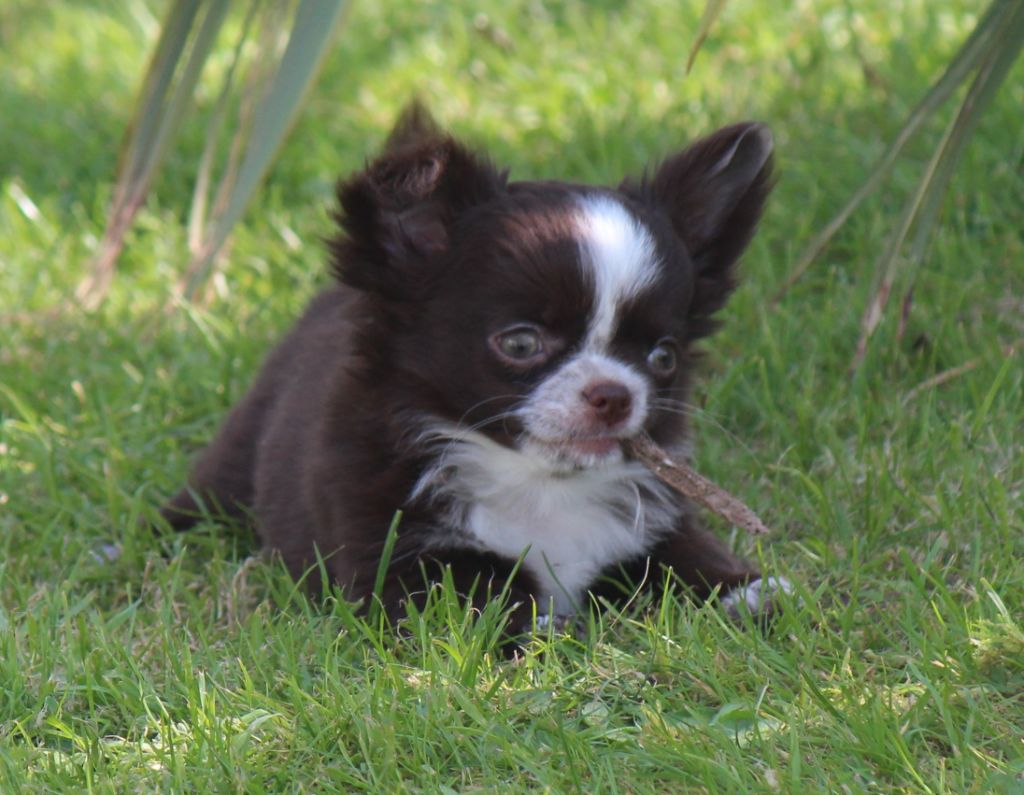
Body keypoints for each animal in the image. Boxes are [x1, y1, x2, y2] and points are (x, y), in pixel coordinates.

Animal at [159, 103, 786, 626]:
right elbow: (485, 606)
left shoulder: (651, 519)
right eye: (521, 344)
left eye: (663, 357)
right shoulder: (405, 554)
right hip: (239, 457)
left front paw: (743, 592)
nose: (614, 394)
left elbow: (684, 555)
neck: (538, 485)